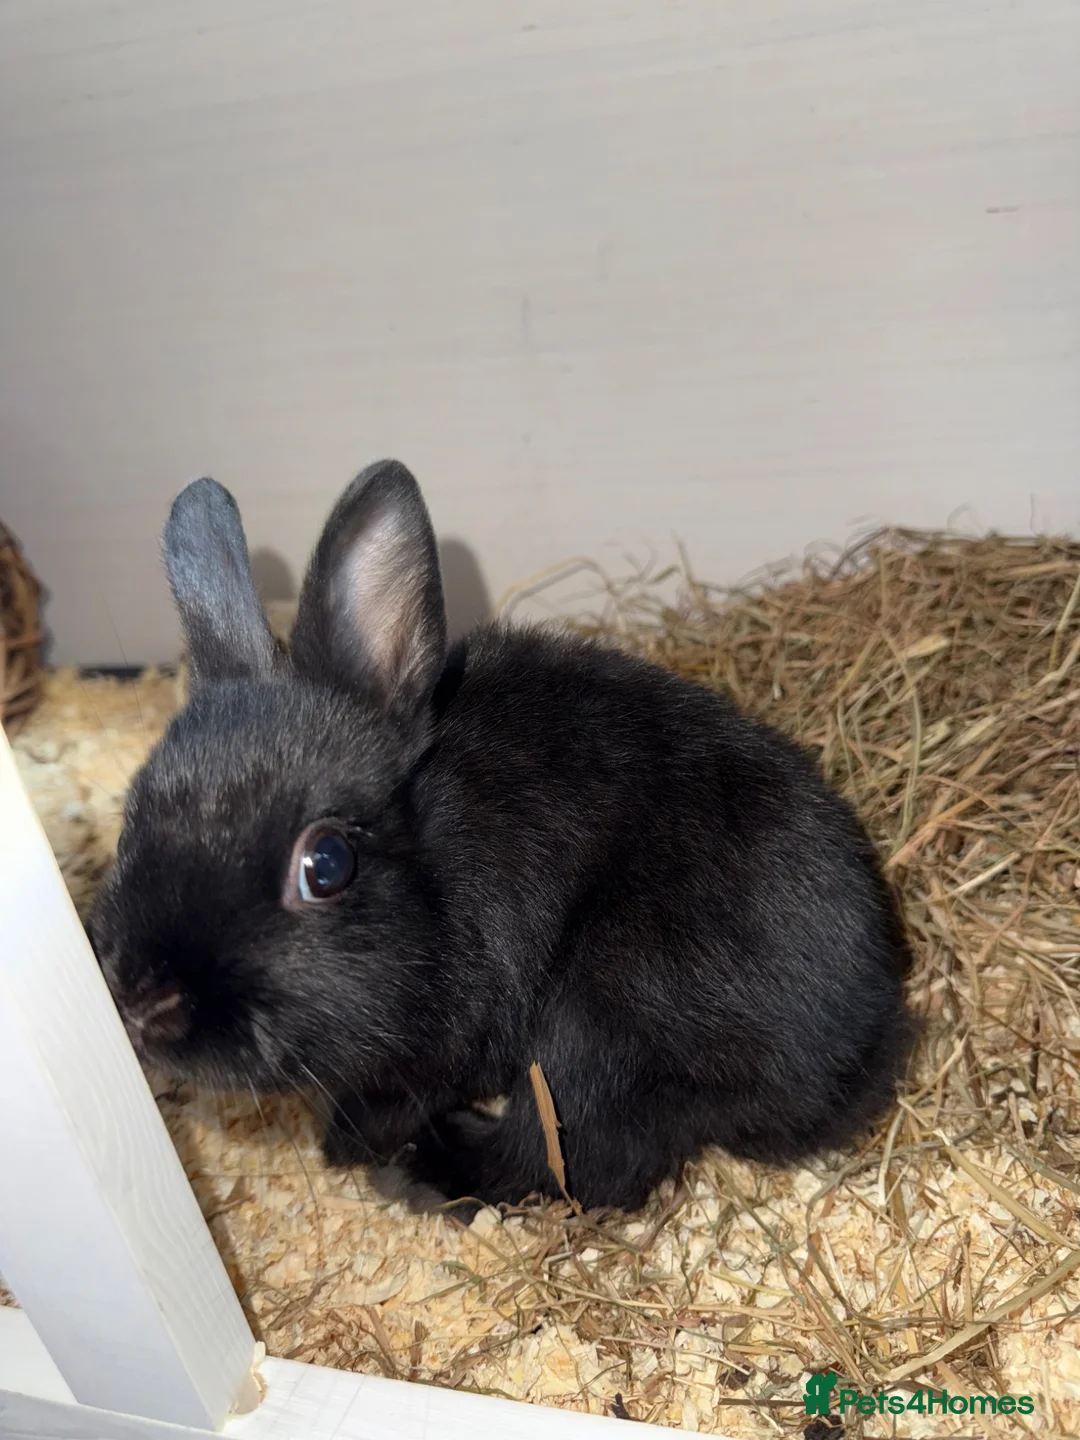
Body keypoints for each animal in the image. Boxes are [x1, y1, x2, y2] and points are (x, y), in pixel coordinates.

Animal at [90, 460, 914, 1217]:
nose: (143, 1004)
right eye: (133, 814)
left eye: (325, 865)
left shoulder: (447, 1044)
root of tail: (860, 1048)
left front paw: (345, 1144)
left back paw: (424, 1170)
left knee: (582, 1162)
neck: (436, 877)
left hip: (597, 1026)